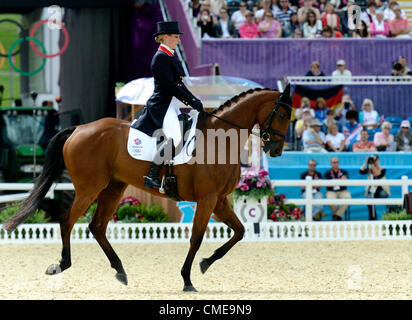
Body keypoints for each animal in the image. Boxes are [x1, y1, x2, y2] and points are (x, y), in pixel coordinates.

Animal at [4, 84, 292, 292]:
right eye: (282, 114)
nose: (276, 150)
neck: (219, 140)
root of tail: (78, 129)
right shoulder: (207, 199)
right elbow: (197, 237)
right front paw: (187, 280)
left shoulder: (219, 200)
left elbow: (240, 231)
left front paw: (205, 264)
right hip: (89, 189)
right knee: (67, 221)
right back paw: (61, 265)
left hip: (113, 188)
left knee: (97, 226)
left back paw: (120, 271)